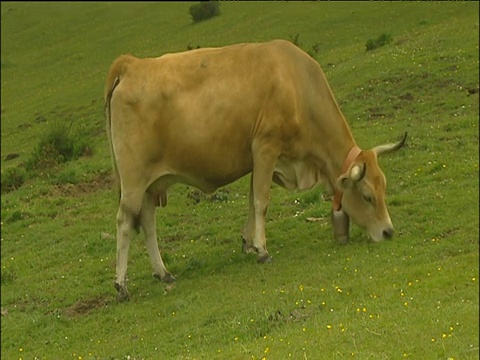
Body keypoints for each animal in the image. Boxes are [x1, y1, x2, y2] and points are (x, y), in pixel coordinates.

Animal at [104, 39, 404, 300]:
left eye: (384, 188)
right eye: (367, 196)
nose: (388, 232)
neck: (296, 84)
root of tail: (131, 64)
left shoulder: (257, 159)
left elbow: (251, 200)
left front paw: (248, 242)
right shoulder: (265, 148)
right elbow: (261, 201)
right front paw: (262, 249)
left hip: (150, 184)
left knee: (147, 221)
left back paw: (163, 272)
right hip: (133, 180)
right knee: (125, 221)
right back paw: (121, 285)